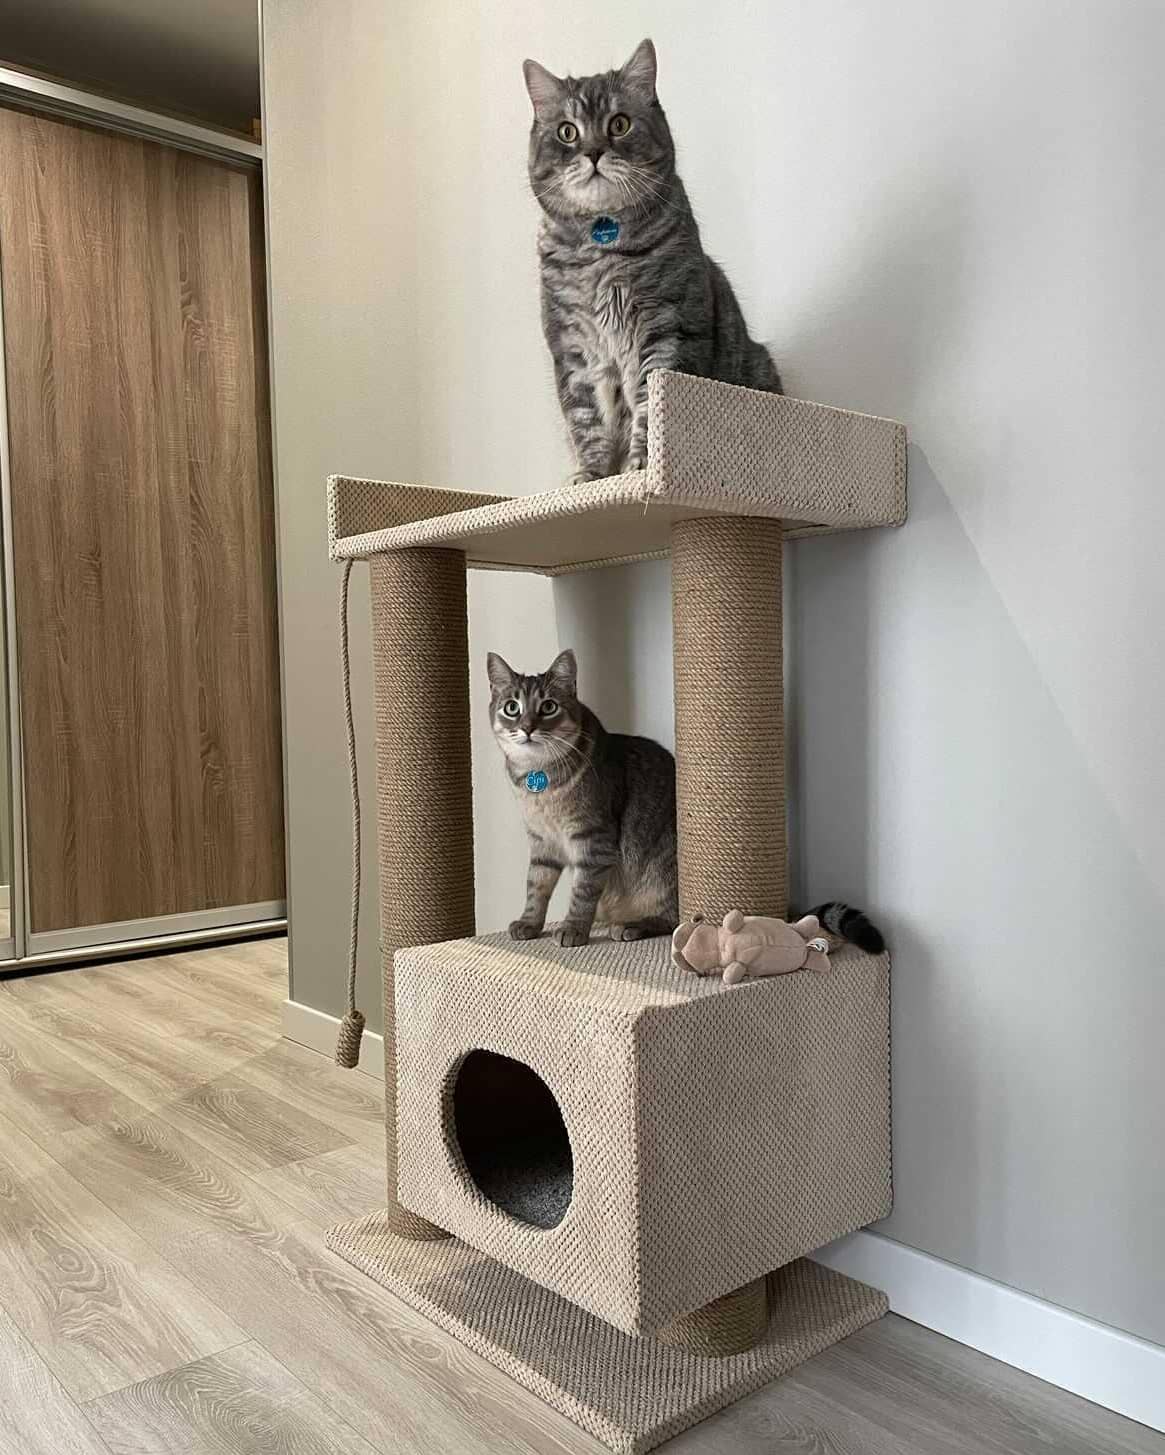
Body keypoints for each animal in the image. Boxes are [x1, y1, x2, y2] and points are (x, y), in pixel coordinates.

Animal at [486, 647, 678, 947]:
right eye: (511, 708)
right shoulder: (542, 842)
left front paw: (573, 928)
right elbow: (536, 886)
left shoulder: (594, 838)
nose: (527, 727)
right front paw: (529, 923)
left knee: (675, 918)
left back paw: (630, 925)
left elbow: (583, 891)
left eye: (549, 707)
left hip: (664, 869)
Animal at [523, 38, 782, 482]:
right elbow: (586, 420)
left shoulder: (668, 330)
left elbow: (648, 407)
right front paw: (592, 477)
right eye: (567, 132)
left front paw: (640, 466)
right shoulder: (573, 350)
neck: (603, 249)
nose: (593, 152)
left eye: (619, 124)